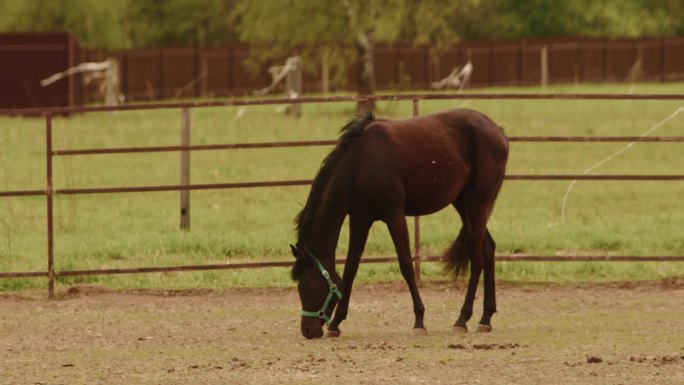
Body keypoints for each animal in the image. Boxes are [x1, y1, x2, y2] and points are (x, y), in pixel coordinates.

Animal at [288, 106, 508, 338]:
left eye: (308, 285)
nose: (308, 330)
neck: (359, 164)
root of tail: (498, 132)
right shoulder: (360, 219)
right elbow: (350, 269)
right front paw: (336, 323)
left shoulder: (394, 216)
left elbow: (406, 265)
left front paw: (419, 321)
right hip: (463, 204)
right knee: (488, 249)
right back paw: (485, 318)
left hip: (477, 201)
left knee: (477, 258)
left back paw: (462, 319)